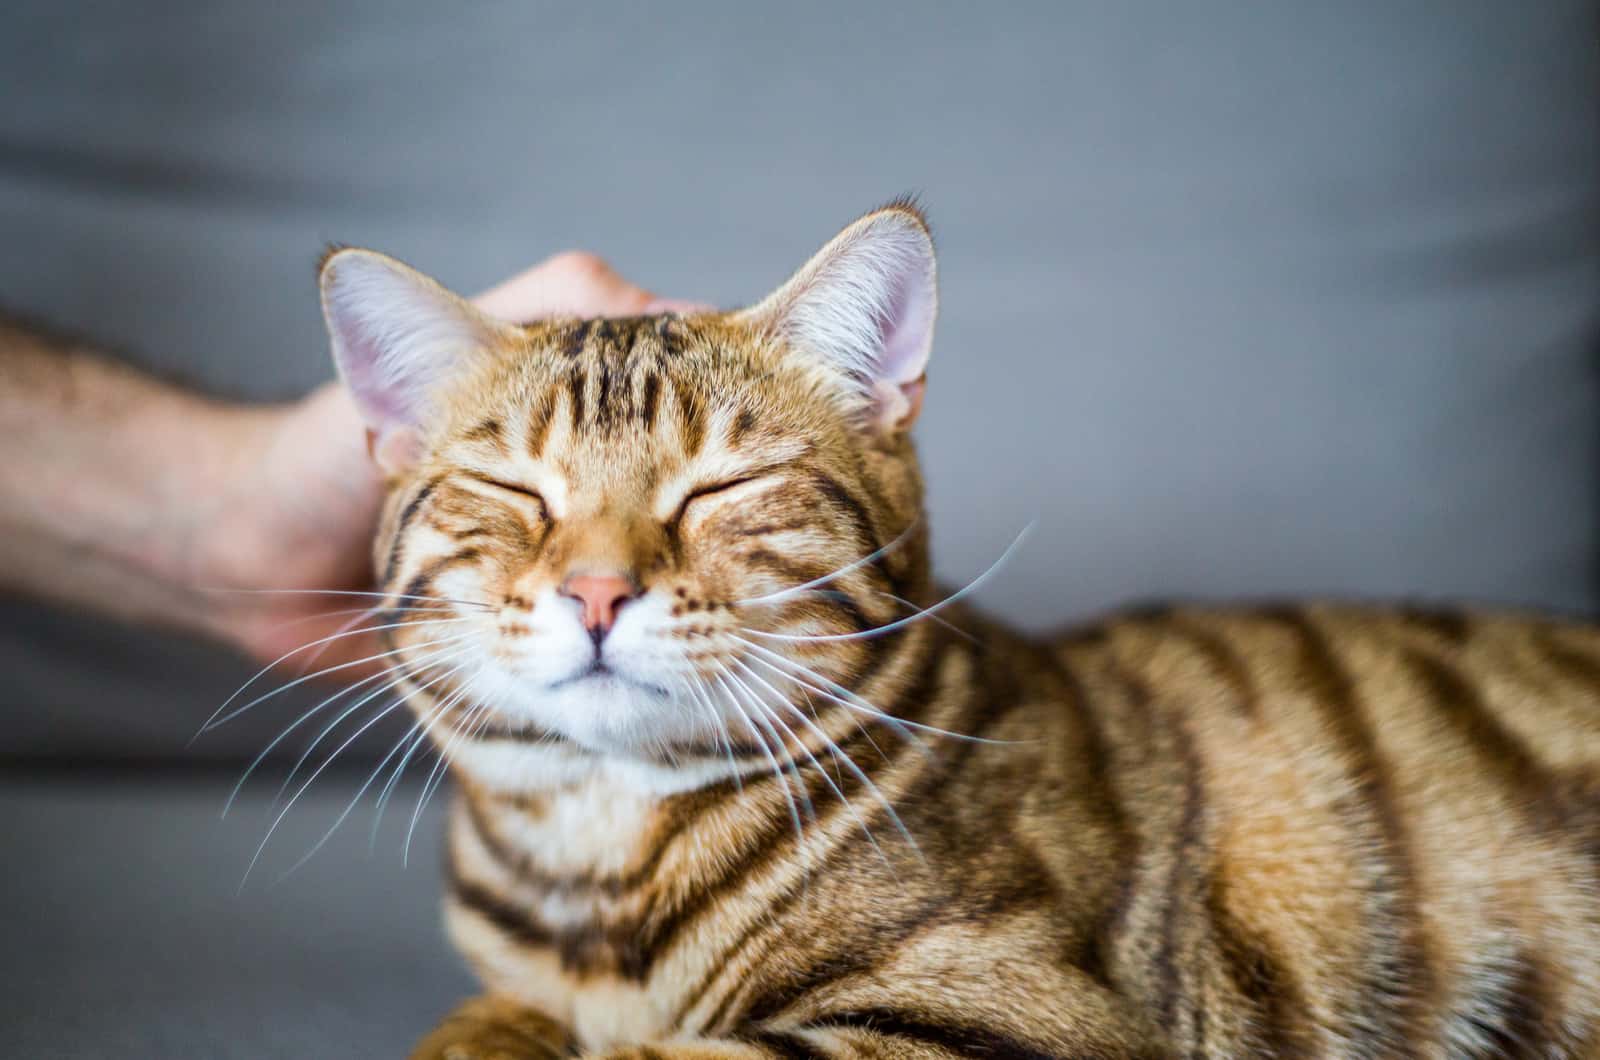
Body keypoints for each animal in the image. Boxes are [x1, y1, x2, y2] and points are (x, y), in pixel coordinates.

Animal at [315, 201, 1600, 1060]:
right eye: (512, 490)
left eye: (723, 487)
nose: (594, 589)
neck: (597, 865)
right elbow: (481, 1024)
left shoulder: (1001, 1017)